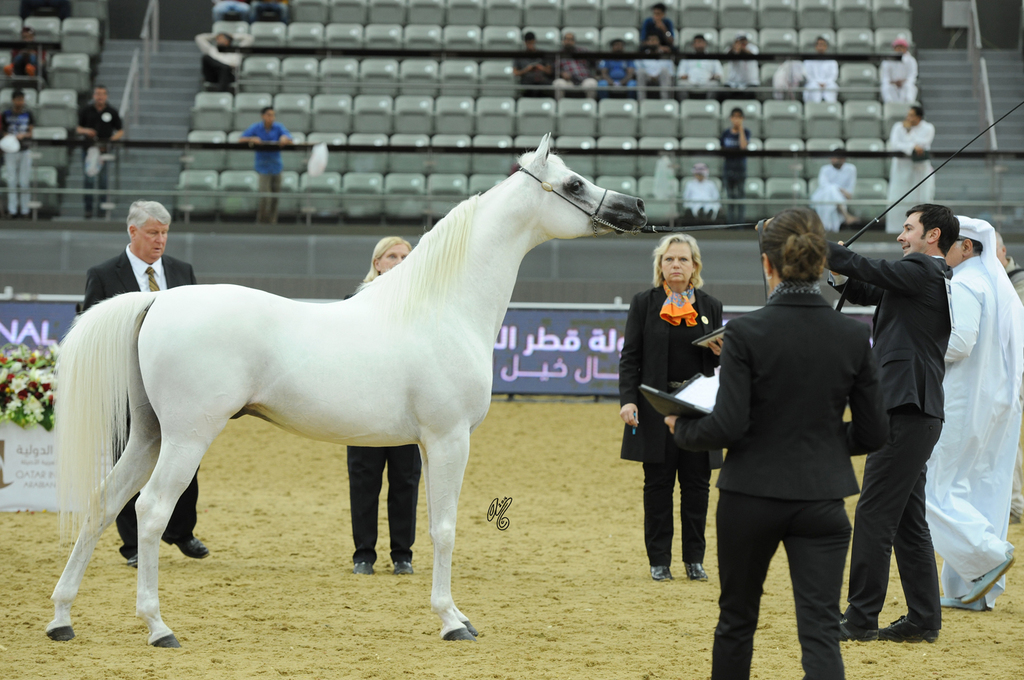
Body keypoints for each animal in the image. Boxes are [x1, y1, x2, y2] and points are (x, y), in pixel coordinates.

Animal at [46, 134, 647, 648]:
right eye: (573, 183)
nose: (637, 208)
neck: (442, 307)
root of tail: (157, 301)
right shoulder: (450, 439)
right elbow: (445, 529)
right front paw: (452, 621)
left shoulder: (425, 445)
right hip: (186, 437)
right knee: (150, 511)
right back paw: (157, 627)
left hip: (148, 434)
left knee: (103, 502)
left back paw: (61, 618)